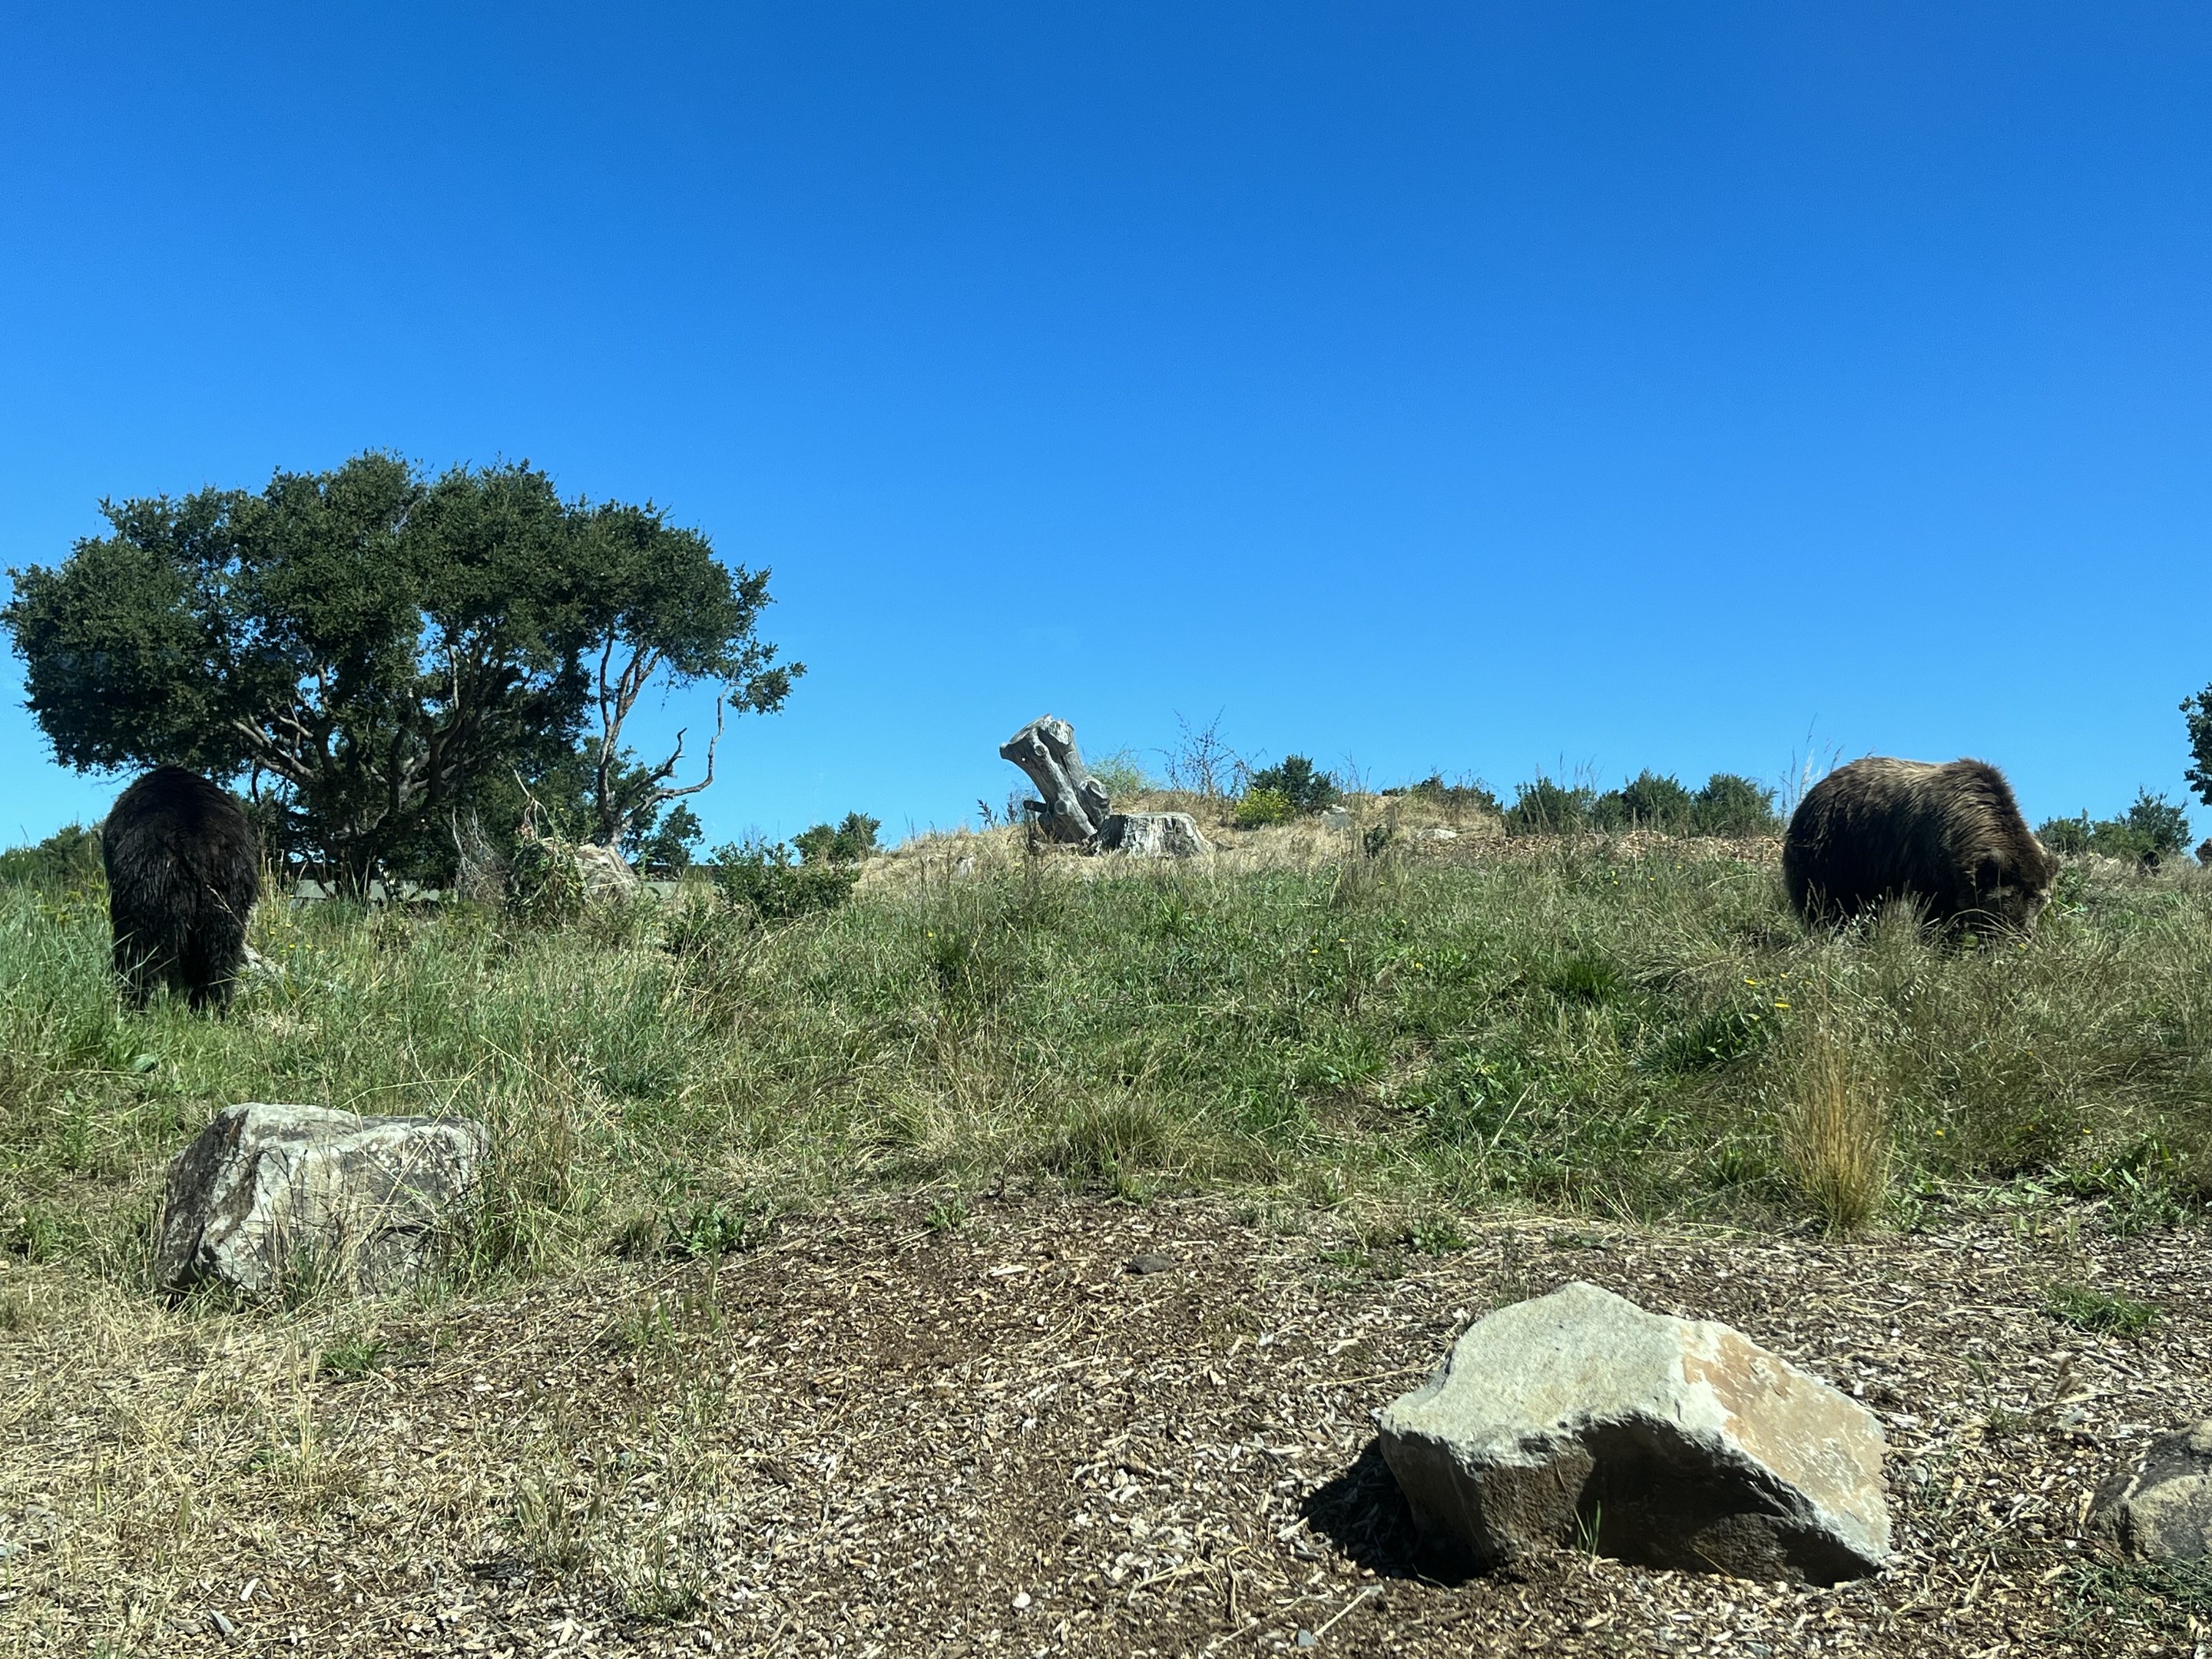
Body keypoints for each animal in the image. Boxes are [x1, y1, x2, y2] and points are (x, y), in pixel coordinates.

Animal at [101, 766, 262, 1011]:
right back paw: (213, 1006)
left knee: (141, 945)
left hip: (151, 879)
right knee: (221, 950)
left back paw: (136, 1001)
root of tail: (193, 838)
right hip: (228, 885)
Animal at [1783, 757, 2056, 934]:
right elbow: (1939, 914)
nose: (2022, 934)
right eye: (2006, 902)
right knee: (1823, 900)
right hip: (1835, 847)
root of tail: (1815, 790)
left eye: (2040, 901)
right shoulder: (1929, 864)